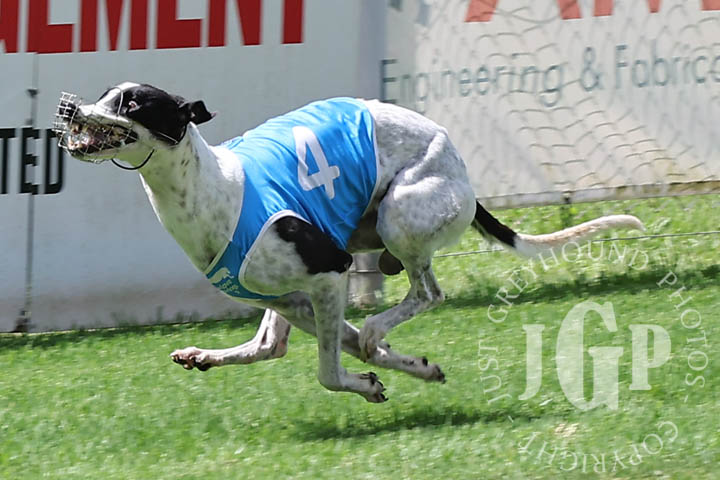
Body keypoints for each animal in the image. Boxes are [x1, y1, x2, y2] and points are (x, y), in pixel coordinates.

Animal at [54, 82, 643, 402]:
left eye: (132, 104)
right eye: (104, 95)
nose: (71, 111)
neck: (216, 185)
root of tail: (464, 172)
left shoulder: (330, 270)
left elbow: (331, 368)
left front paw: (370, 378)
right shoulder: (296, 294)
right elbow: (316, 345)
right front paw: (407, 367)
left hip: (400, 215)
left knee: (426, 293)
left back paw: (383, 332)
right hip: (312, 274)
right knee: (271, 343)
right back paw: (205, 355)